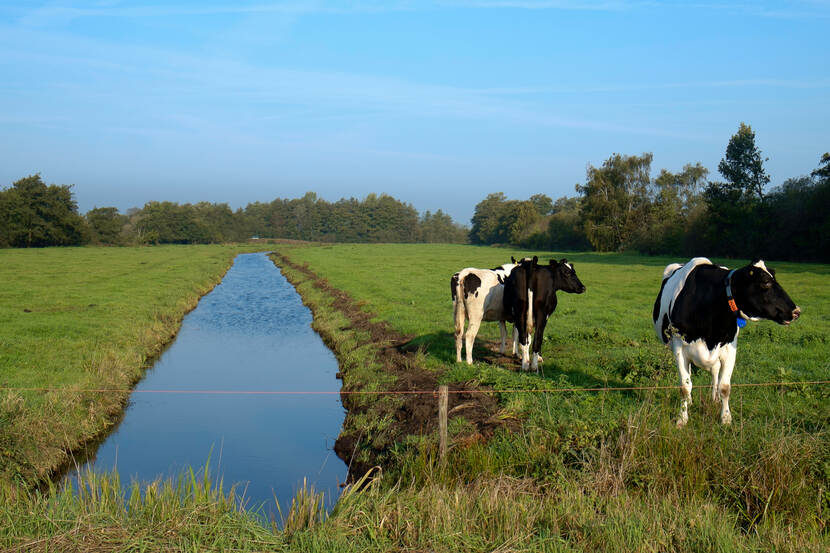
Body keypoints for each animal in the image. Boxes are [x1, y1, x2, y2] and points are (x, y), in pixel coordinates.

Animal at [656, 256, 800, 424]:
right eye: (765, 282)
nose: (796, 311)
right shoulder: (679, 347)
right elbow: (685, 387)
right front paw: (682, 419)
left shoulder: (729, 348)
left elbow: (724, 387)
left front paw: (725, 418)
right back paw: (691, 402)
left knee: (714, 373)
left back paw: (714, 399)